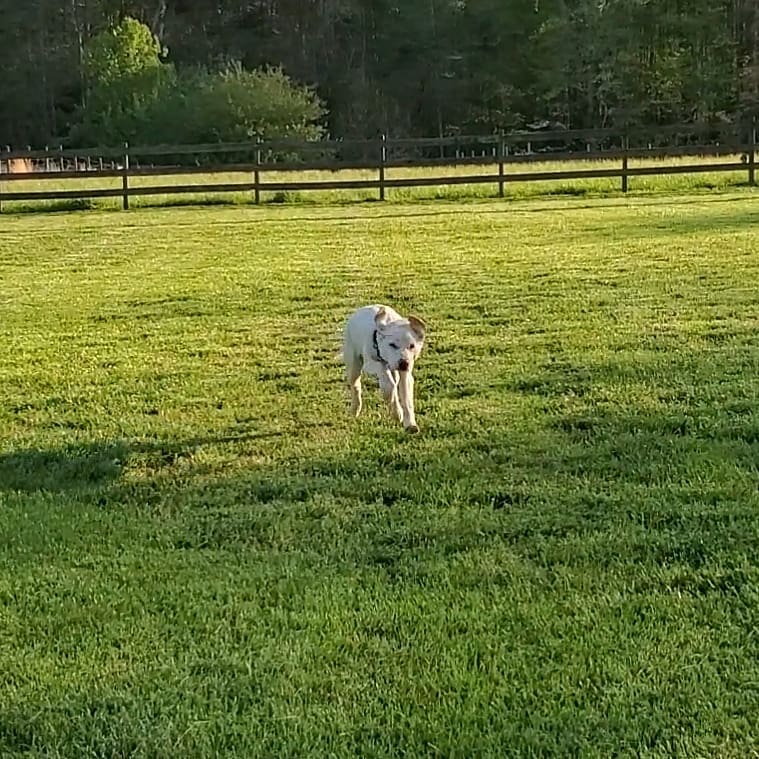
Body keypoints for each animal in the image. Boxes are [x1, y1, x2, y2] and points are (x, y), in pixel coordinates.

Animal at [342, 302, 428, 434]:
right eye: (392, 344)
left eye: (412, 346)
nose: (404, 363)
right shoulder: (371, 362)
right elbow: (388, 385)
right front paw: (394, 407)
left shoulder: (406, 374)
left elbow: (406, 397)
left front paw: (410, 424)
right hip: (353, 363)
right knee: (355, 385)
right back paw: (355, 409)